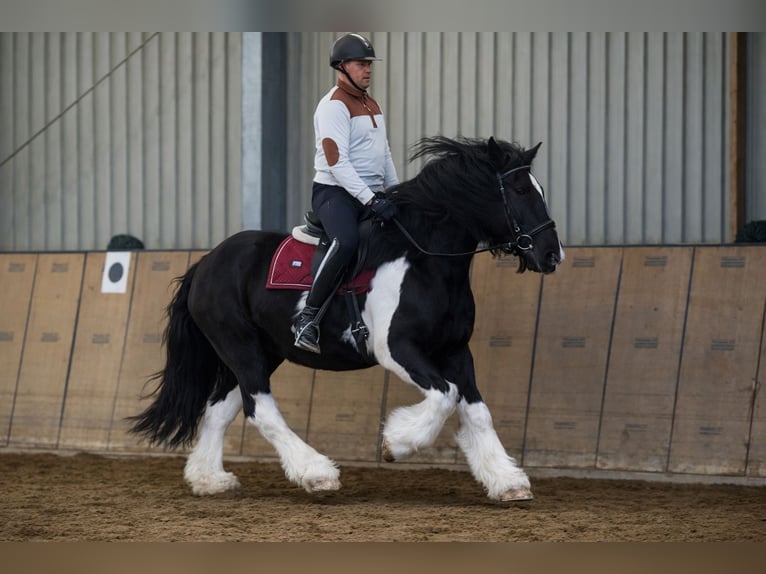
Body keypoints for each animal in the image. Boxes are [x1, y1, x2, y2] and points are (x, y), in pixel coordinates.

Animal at [129, 135, 565, 502]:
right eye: (521, 190)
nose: (551, 254)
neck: (424, 261)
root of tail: (206, 263)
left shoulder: (456, 351)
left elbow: (476, 409)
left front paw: (507, 482)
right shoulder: (398, 349)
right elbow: (445, 396)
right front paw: (394, 443)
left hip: (261, 351)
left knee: (222, 409)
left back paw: (209, 479)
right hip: (240, 347)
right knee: (260, 409)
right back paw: (316, 473)